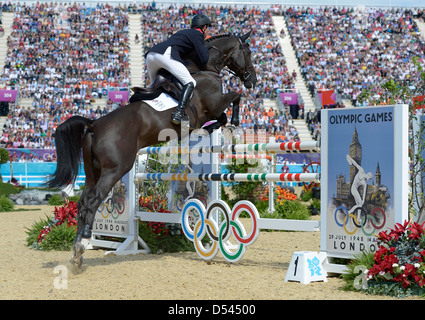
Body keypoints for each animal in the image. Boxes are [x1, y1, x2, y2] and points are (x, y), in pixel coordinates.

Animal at [48, 31, 256, 268]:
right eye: (248, 52)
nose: (252, 80)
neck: (206, 68)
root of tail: (94, 124)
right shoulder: (213, 104)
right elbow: (234, 98)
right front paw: (232, 124)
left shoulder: (210, 110)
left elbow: (222, 115)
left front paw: (214, 128)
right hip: (115, 169)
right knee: (93, 200)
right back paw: (83, 242)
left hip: (93, 172)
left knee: (83, 201)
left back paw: (77, 247)